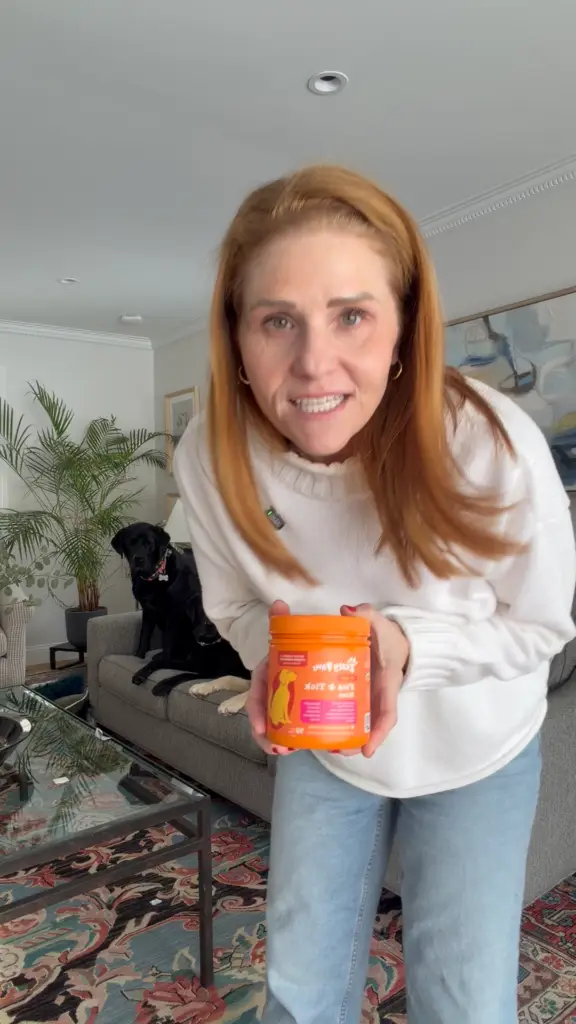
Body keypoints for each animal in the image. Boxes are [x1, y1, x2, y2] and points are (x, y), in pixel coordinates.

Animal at [111, 522, 251, 710]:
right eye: (130, 544)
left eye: (149, 544)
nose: (138, 559)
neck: (155, 578)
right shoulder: (147, 610)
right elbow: (144, 636)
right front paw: (139, 657)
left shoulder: (174, 614)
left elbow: (173, 660)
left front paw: (161, 680)